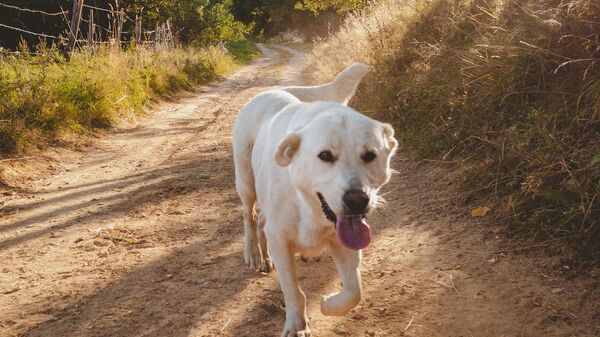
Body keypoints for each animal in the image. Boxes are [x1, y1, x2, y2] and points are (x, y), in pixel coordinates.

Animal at [232, 63, 396, 336]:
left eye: (369, 155)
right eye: (325, 155)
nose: (357, 200)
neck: (308, 208)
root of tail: (272, 91)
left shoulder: (345, 241)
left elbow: (354, 292)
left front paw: (328, 304)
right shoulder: (281, 240)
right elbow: (293, 291)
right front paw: (296, 325)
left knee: (262, 220)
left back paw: (267, 256)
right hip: (245, 181)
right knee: (250, 216)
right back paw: (254, 253)